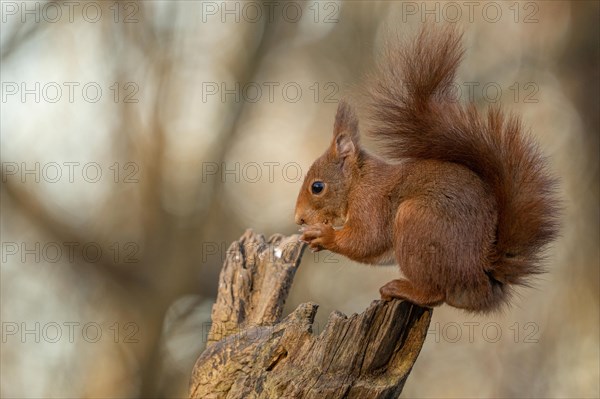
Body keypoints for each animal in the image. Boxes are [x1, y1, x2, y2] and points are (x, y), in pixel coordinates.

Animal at [292, 26, 560, 314]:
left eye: (317, 187)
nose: (299, 219)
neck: (357, 181)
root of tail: (481, 276)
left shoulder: (371, 202)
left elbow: (367, 239)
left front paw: (324, 235)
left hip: (417, 223)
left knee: (434, 293)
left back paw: (401, 289)